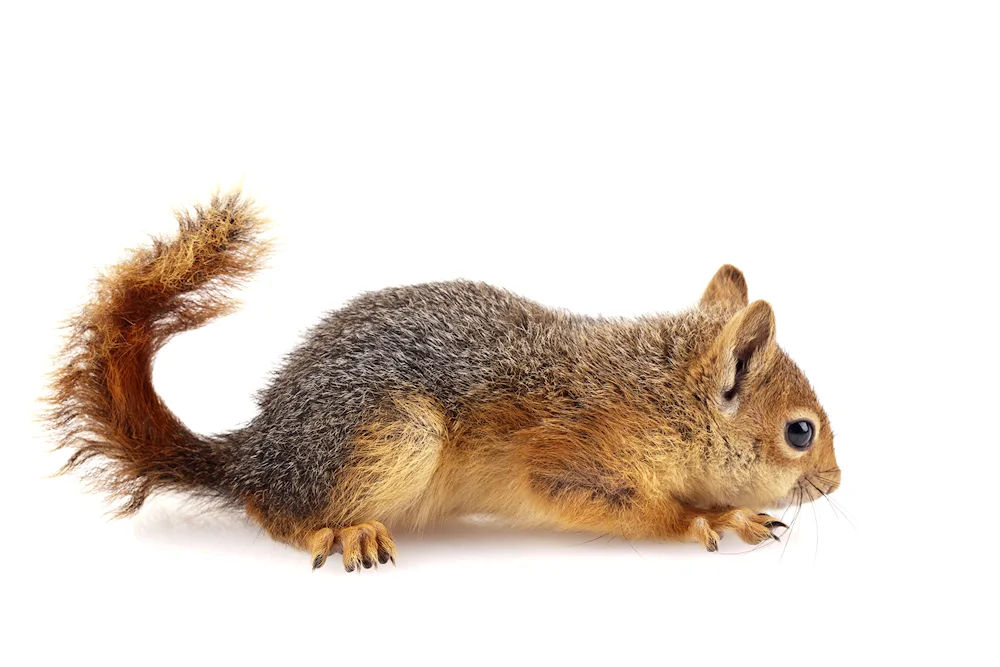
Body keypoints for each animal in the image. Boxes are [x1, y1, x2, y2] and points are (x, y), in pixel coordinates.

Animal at [48, 190, 844, 572]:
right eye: (800, 431)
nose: (835, 483)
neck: (661, 398)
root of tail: (262, 449)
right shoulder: (571, 457)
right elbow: (627, 505)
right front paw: (708, 519)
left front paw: (732, 511)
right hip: (393, 433)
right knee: (270, 508)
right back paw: (342, 530)